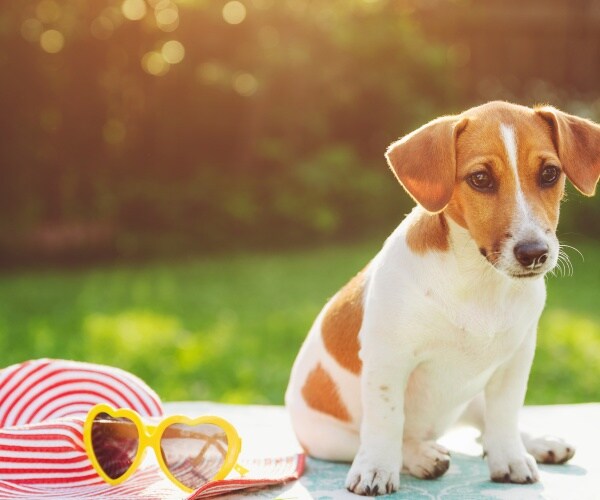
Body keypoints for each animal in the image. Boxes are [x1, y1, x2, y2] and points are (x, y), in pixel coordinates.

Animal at [286, 101, 600, 496]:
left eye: (549, 173)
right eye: (480, 179)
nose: (534, 253)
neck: (480, 280)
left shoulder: (515, 359)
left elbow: (505, 413)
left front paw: (511, 458)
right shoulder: (389, 360)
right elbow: (386, 421)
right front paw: (376, 469)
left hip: (472, 397)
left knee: (485, 427)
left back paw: (538, 443)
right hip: (329, 438)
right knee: (383, 438)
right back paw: (421, 455)